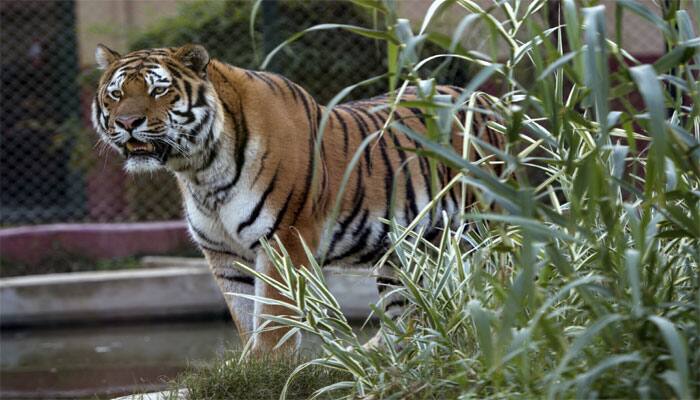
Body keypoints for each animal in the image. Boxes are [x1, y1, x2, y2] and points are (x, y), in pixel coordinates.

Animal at [93, 43, 504, 354]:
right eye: (116, 94)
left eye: (158, 91)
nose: (127, 123)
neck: (201, 171)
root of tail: (490, 99)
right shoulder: (223, 255)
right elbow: (245, 314)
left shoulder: (284, 238)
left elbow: (273, 317)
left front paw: (265, 368)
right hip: (407, 250)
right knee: (406, 309)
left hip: (487, 227)